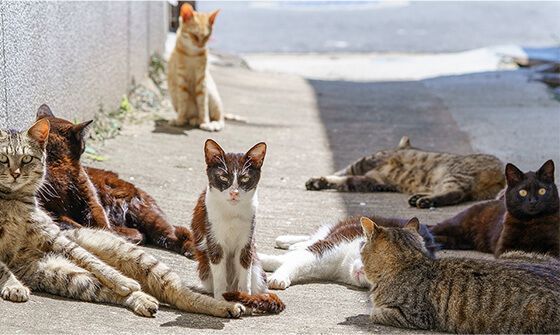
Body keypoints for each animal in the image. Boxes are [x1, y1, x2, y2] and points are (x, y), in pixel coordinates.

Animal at [36, 106, 195, 258]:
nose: (85, 146)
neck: (57, 163)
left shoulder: (91, 200)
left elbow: (100, 223)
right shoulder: (48, 208)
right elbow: (77, 225)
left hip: (144, 214)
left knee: (177, 232)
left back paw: (191, 250)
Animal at [167, 4, 224, 133]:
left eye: (207, 37)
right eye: (194, 35)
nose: (200, 45)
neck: (192, 54)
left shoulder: (202, 78)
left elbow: (202, 102)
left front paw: (205, 122)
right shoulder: (181, 77)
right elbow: (183, 102)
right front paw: (180, 120)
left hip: (212, 92)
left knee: (221, 118)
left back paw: (211, 123)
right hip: (173, 95)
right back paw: (191, 119)